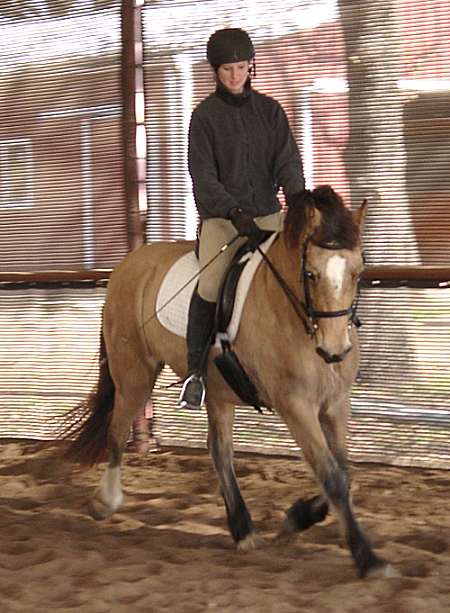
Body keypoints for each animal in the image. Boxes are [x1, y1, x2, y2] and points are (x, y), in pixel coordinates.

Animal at [63, 185, 393, 579]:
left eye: (358, 273)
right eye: (311, 274)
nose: (334, 350)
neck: (296, 314)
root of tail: (127, 265)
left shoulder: (336, 403)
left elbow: (345, 471)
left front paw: (297, 519)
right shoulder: (295, 405)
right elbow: (332, 476)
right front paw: (367, 558)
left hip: (218, 391)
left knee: (219, 451)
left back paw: (243, 529)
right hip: (134, 374)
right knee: (117, 430)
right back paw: (105, 501)